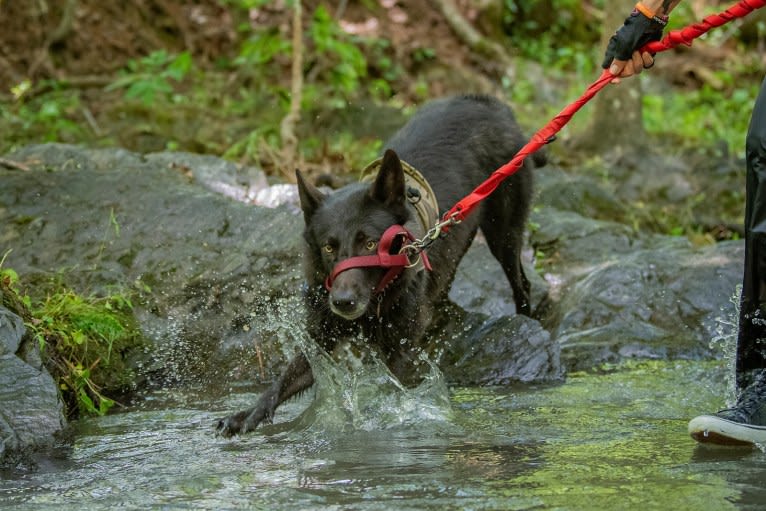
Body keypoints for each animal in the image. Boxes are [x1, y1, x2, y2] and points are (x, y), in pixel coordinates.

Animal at [216, 93, 540, 436]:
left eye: (371, 244)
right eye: (329, 247)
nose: (343, 302)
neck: (376, 300)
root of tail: (490, 104)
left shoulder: (398, 349)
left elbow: (389, 390)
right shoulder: (321, 338)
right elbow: (284, 379)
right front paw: (248, 414)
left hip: (504, 233)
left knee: (520, 282)